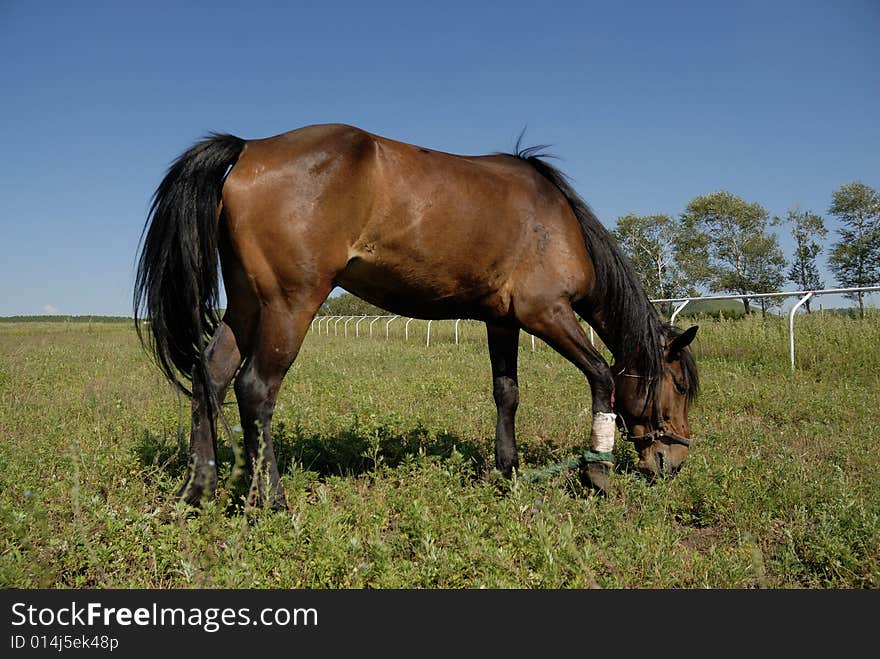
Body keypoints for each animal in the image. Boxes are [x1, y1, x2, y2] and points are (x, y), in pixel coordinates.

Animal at [136, 124, 700, 508]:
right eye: (677, 386)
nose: (673, 463)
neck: (558, 221)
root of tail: (250, 146)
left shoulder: (502, 320)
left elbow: (507, 393)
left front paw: (509, 472)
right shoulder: (546, 312)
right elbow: (602, 375)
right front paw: (597, 475)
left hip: (247, 304)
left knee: (210, 375)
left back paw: (199, 490)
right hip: (288, 305)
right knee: (255, 389)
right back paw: (271, 500)